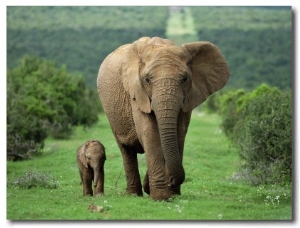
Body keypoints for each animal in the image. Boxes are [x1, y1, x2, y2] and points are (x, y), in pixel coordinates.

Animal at [96, 36, 230, 200]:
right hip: (112, 114)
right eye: (147, 80)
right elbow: (150, 134)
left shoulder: (188, 98)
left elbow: (179, 134)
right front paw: (161, 197)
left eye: (185, 79)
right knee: (126, 150)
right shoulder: (137, 93)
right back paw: (133, 195)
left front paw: (172, 195)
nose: (171, 180)